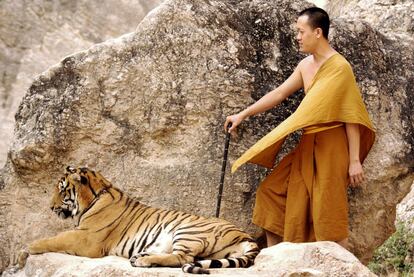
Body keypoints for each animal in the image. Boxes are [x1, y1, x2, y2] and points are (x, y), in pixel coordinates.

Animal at [20, 165, 258, 272]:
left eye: (62, 190)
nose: (50, 207)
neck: (96, 195)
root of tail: (245, 236)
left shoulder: (87, 238)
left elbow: (55, 238)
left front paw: (26, 249)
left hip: (188, 230)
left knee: (183, 258)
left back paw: (143, 260)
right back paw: (142, 256)